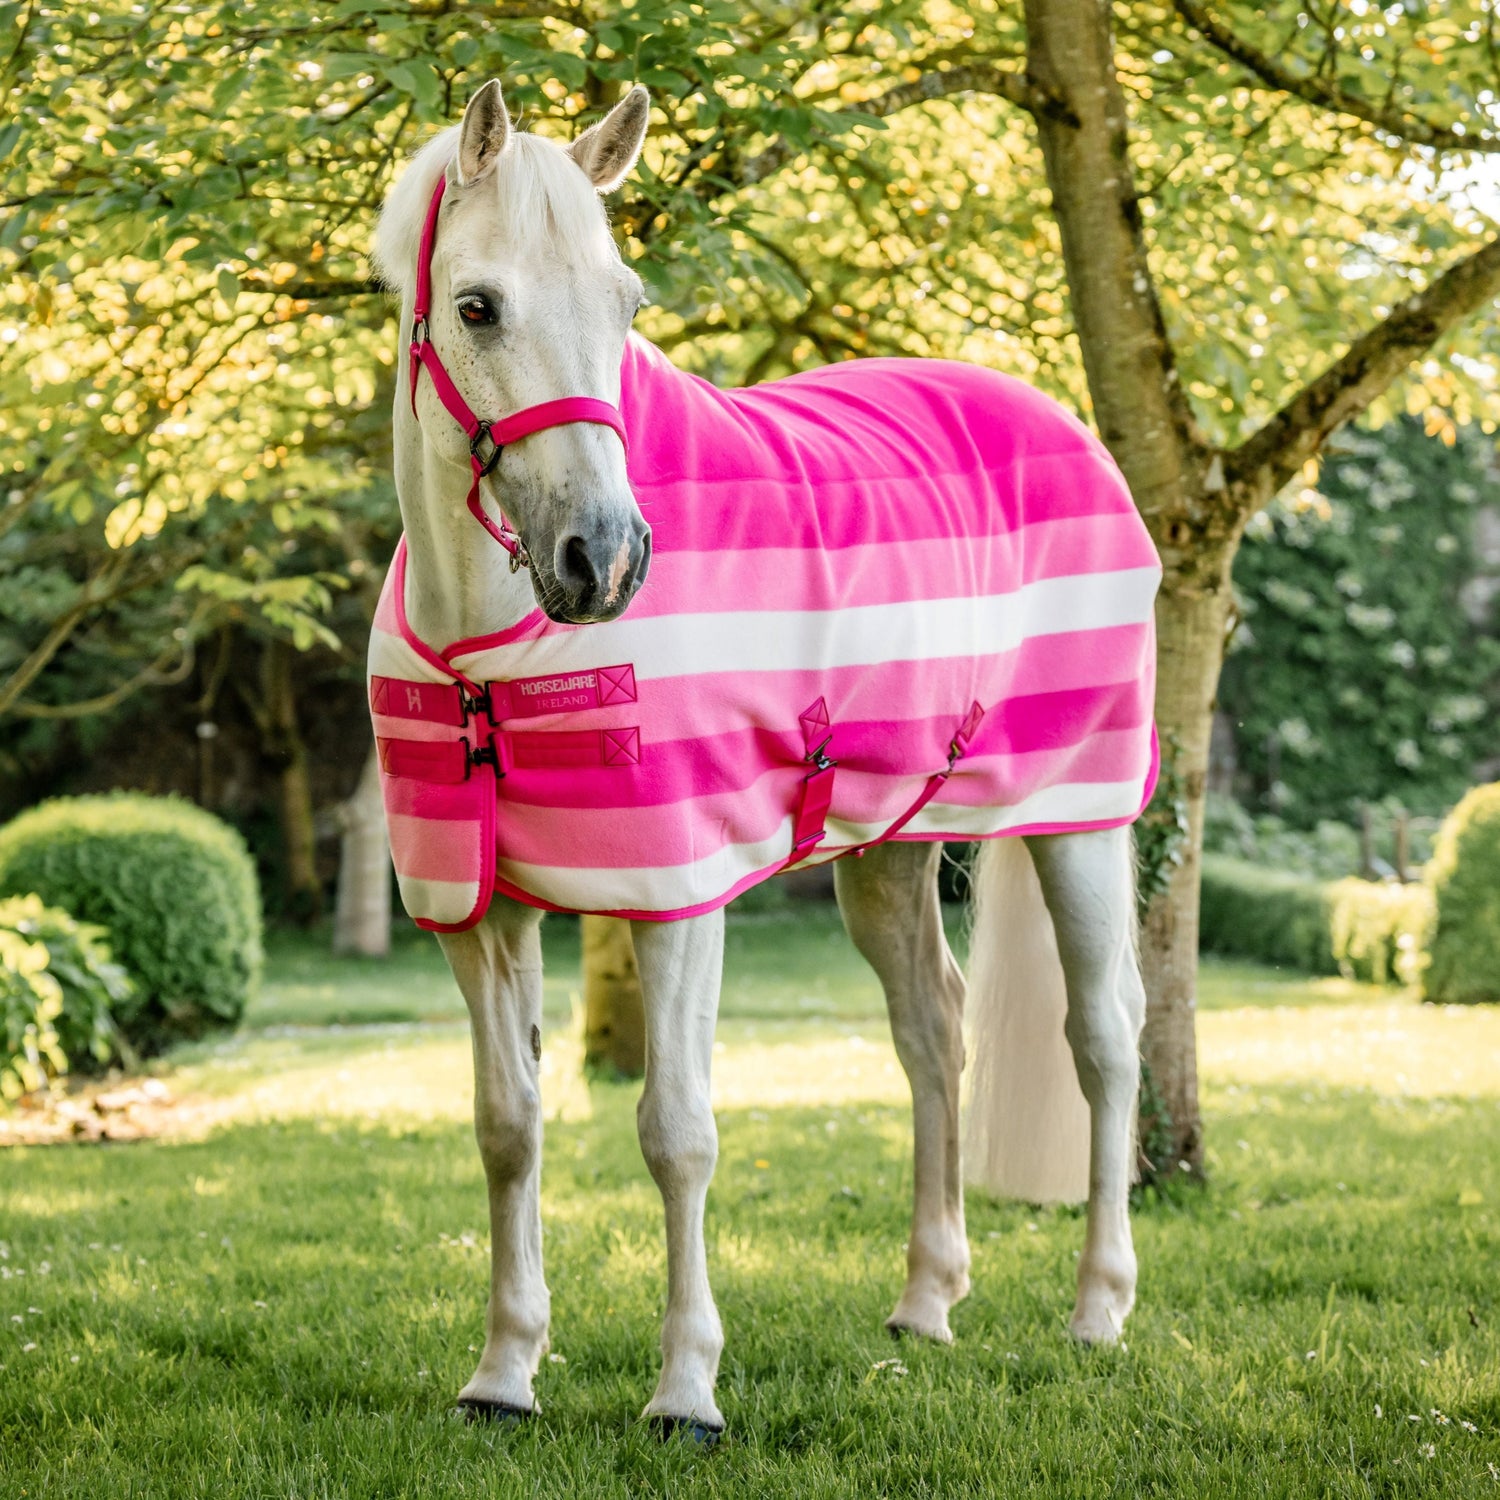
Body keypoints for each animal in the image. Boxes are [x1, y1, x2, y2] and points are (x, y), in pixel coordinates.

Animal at [368, 77, 1159, 1438]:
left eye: (627, 301)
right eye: (477, 307)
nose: (605, 558)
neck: (491, 649)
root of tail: (1061, 418)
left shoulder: (676, 894)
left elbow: (676, 1132)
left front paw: (686, 1390)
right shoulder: (478, 911)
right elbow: (507, 1127)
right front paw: (504, 1373)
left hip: (1082, 820)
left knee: (1106, 1035)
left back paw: (1099, 1308)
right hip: (889, 849)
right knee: (932, 1032)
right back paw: (926, 1301)